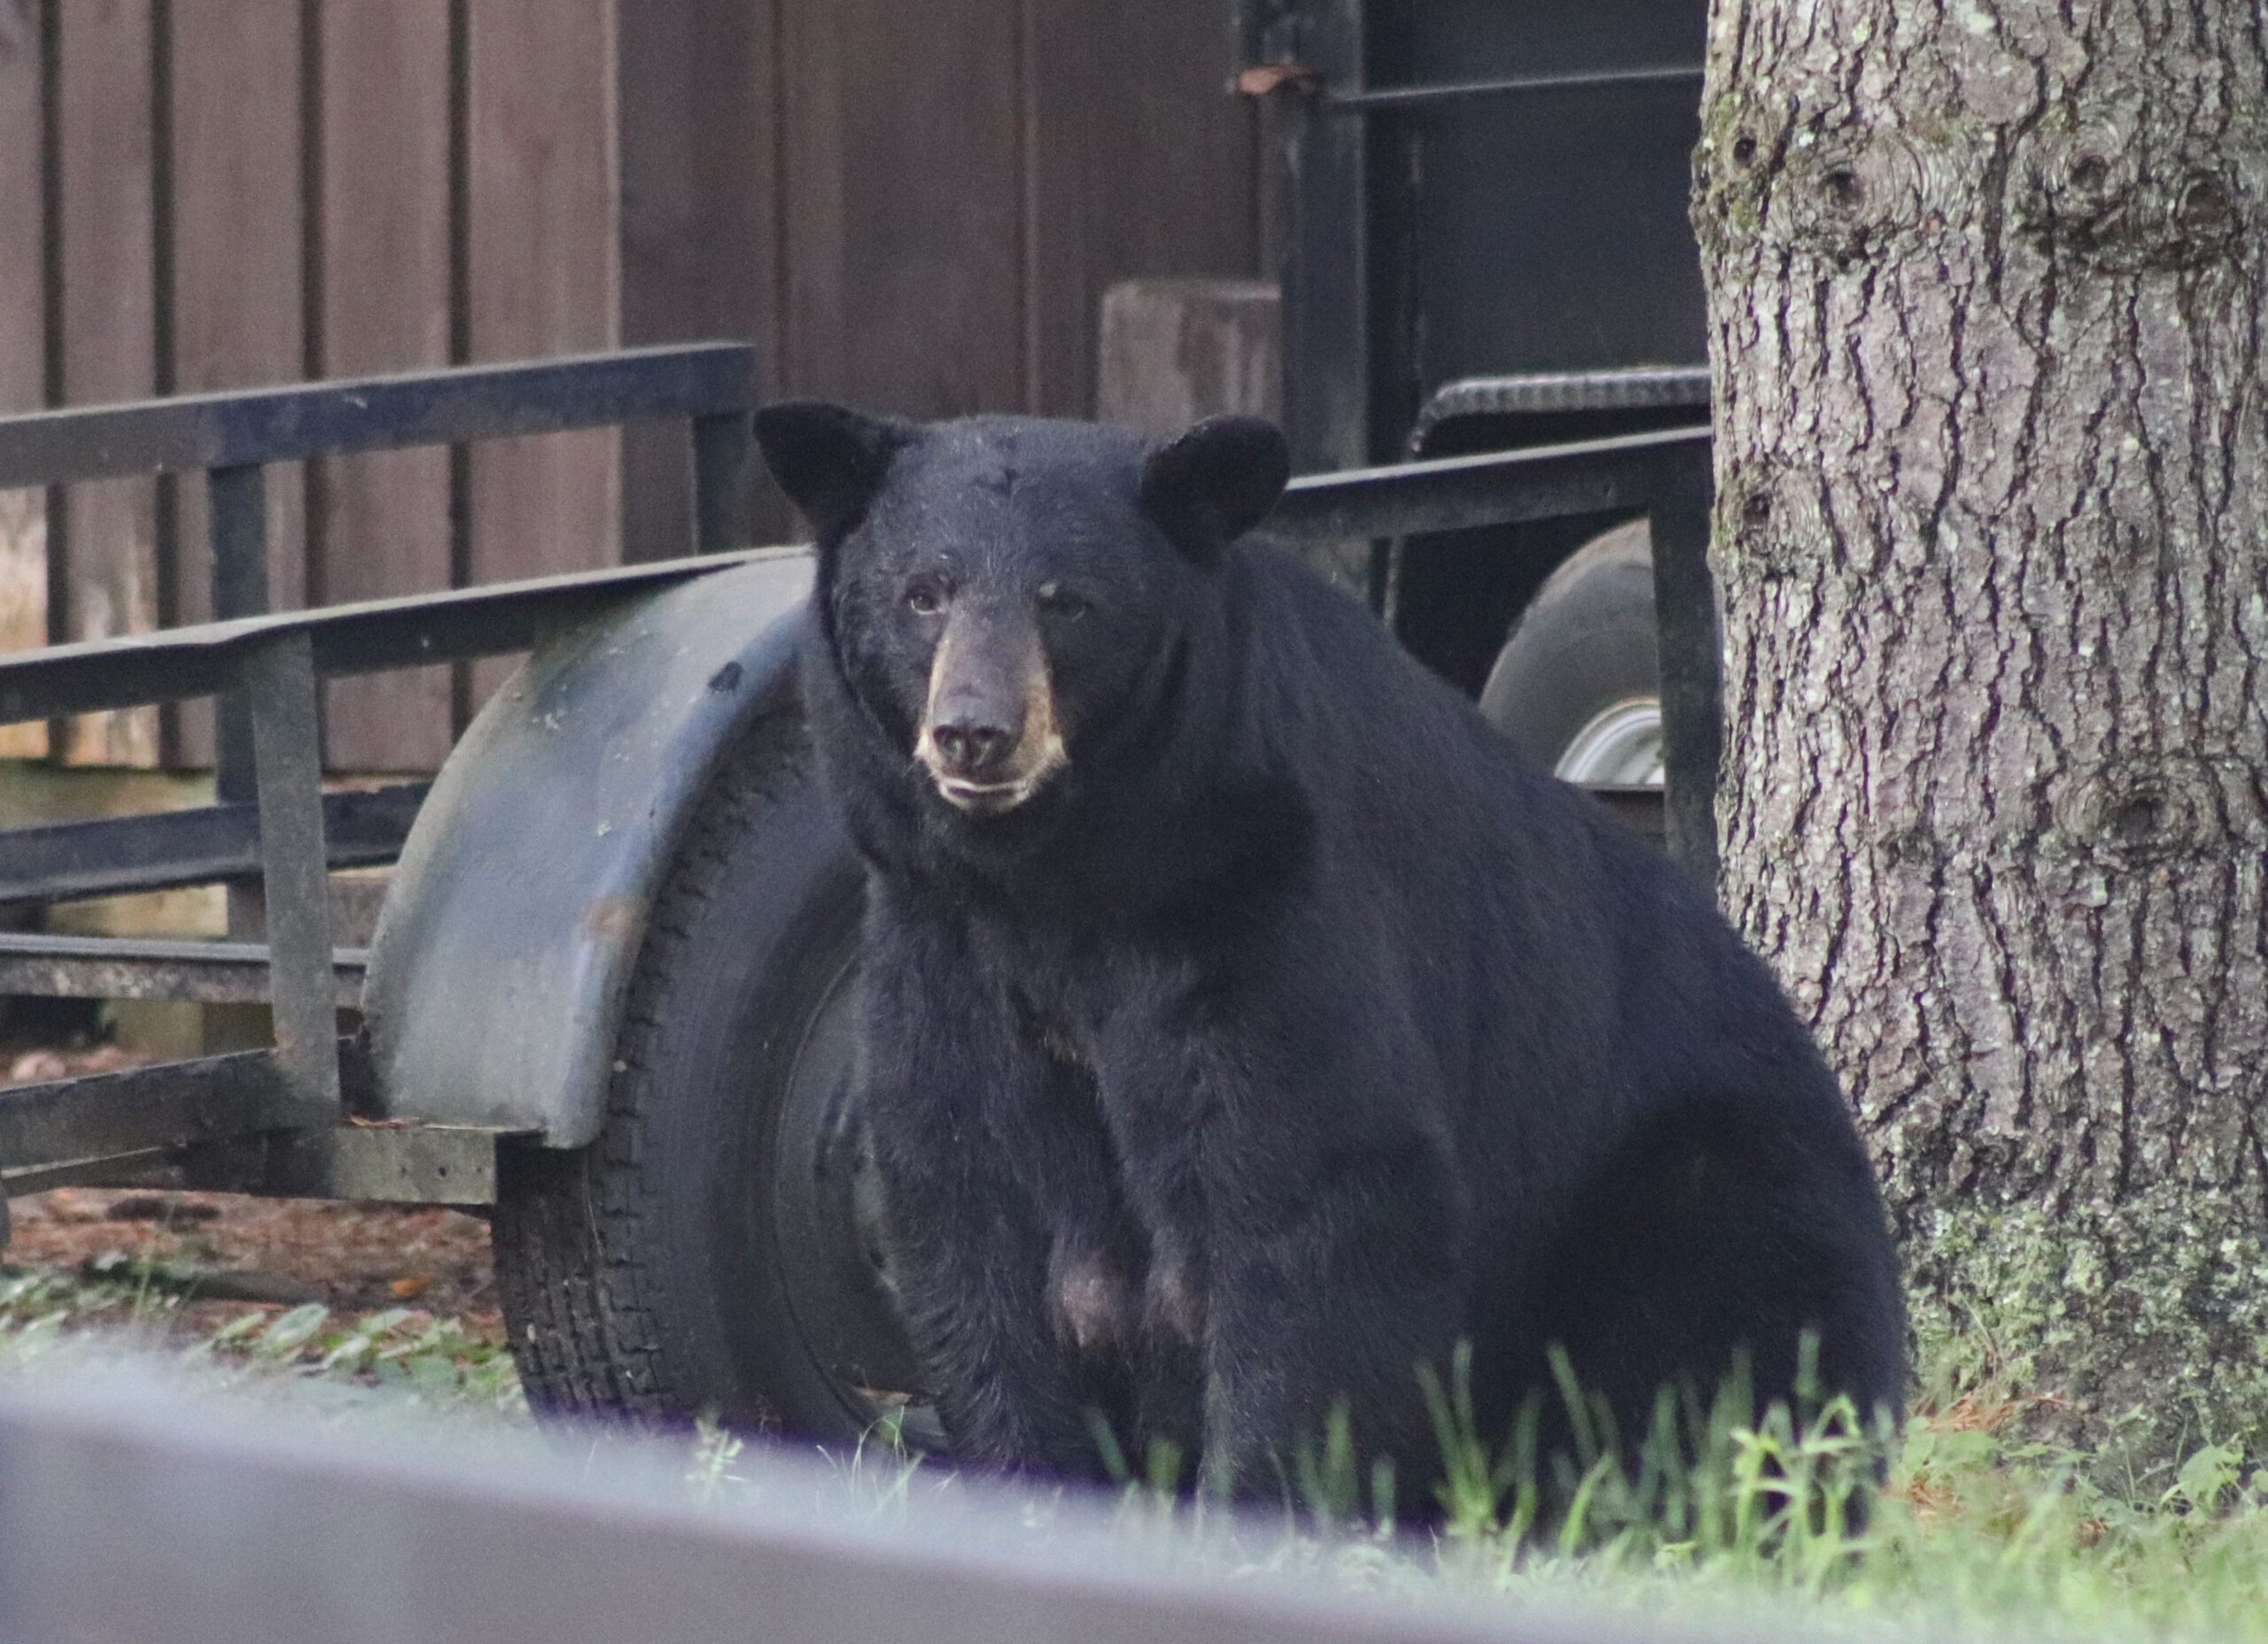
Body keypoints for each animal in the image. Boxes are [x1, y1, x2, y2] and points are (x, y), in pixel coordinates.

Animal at [754, 401, 1906, 1505]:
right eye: (923, 593)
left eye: (1065, 600)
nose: (974, 732)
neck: (1067, 878)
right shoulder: (939, 947)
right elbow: (970, 1209)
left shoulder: (1265, 916)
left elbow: (1312, 1204)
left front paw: (1262, 1502)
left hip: (1699, 1173)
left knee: (1738, 1336)